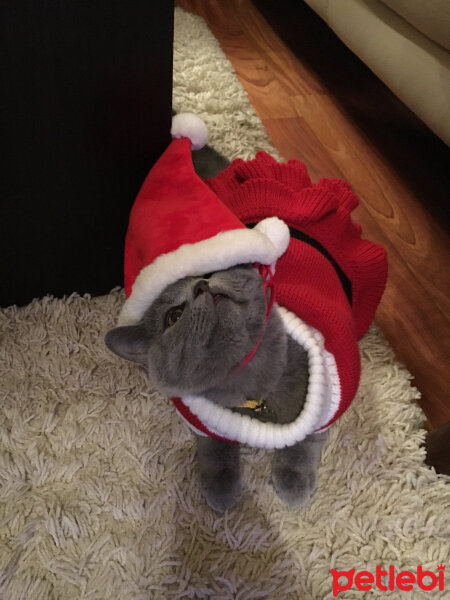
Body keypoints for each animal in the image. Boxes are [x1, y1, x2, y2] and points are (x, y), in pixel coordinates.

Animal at [105, 144, 326, 510]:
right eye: (174, 315)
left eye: (209, 271)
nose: (201, 285)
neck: (251, 381)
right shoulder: (203, 421)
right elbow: (214, 447)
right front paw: (221, 488)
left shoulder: (325, 397)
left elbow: (305, 440)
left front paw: (293, 482)